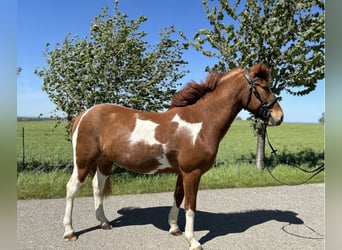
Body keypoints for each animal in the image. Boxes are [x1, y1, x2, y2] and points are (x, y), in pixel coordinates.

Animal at [63, 61, 284, 249]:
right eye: (264, 87)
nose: (279, 117)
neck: (201, 122)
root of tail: (83, 115)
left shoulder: (182, 172)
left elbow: (178, 197)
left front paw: (175, 228)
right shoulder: (192, 173)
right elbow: (190, 205)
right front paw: (193, 240)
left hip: (104, 162)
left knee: (97, 188)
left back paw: (104, 222)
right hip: (83, 162)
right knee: (72, 188)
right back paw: (69, 232)